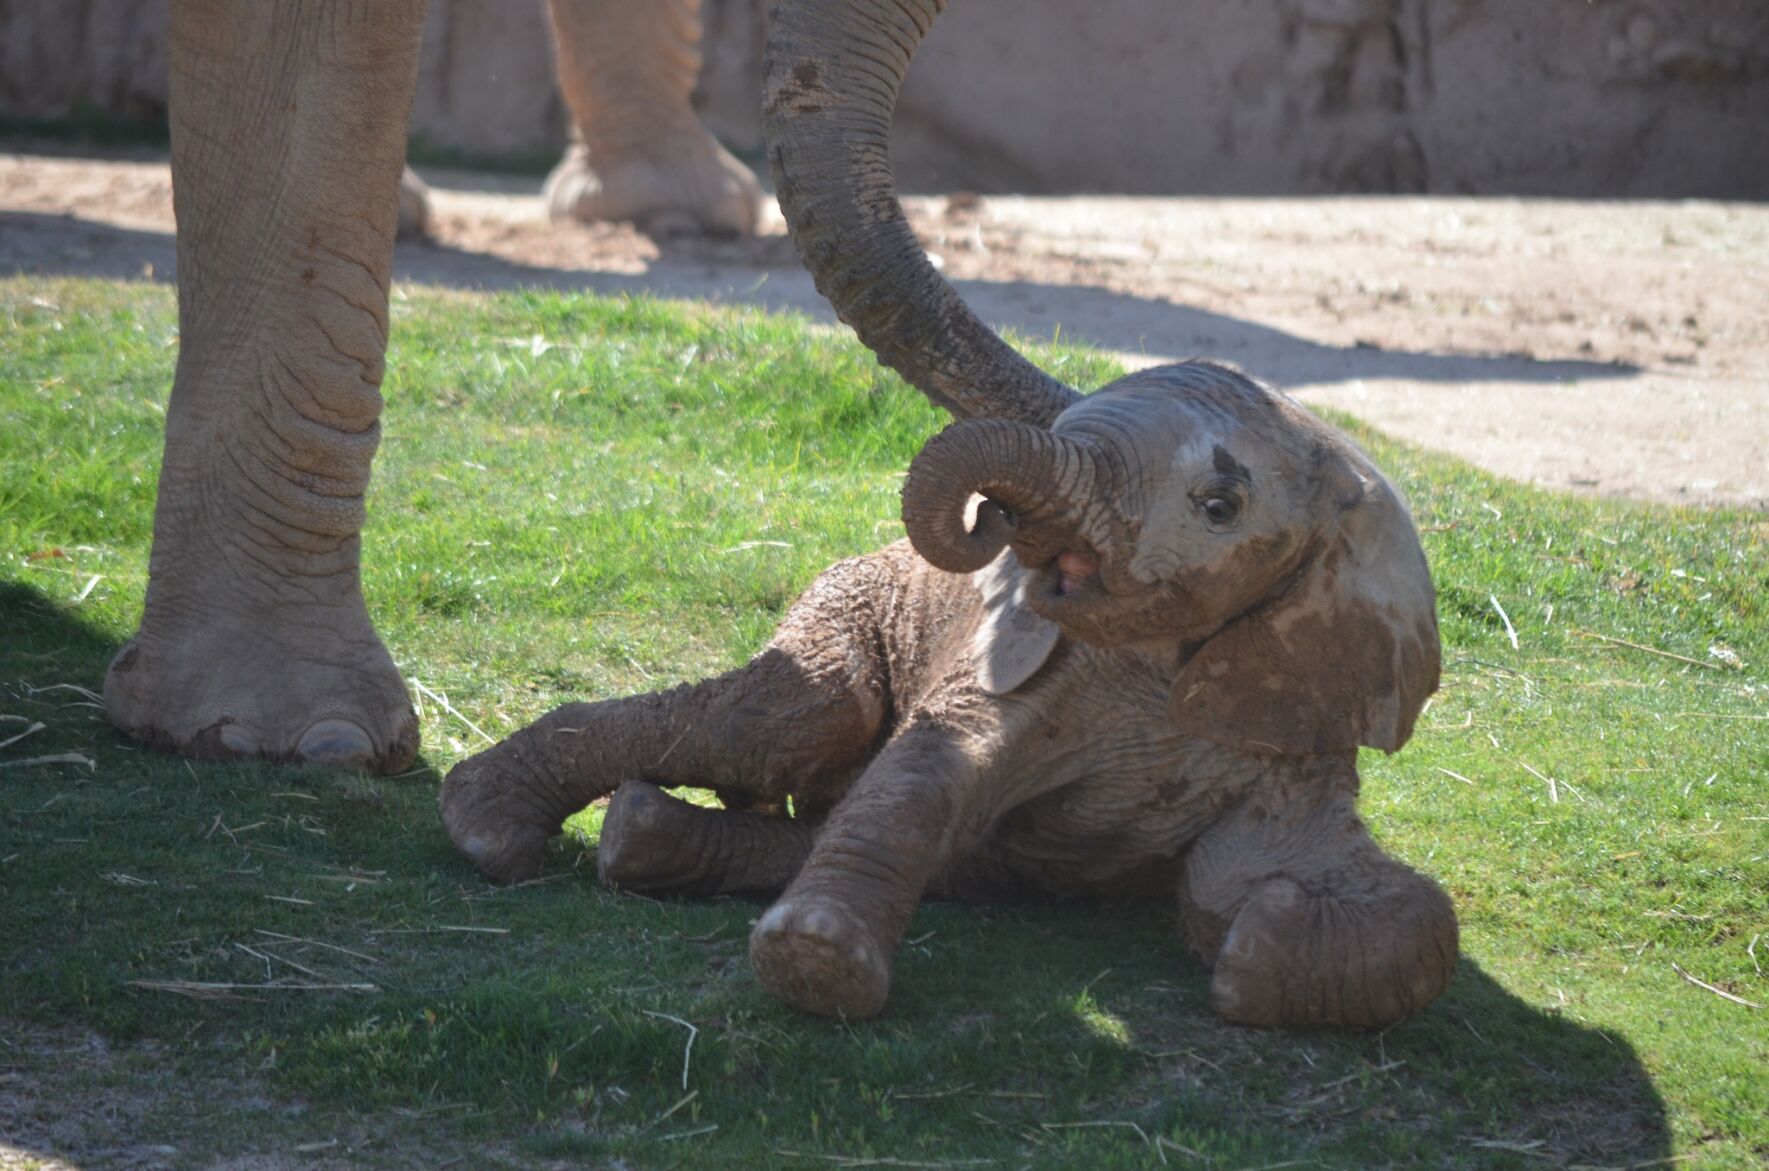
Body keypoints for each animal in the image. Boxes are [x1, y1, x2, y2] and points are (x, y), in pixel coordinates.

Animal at [437, 0, 1457, 1028]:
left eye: (1219, 505)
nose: (992, 519)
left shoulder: (1291, 714)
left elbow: (1371, 904)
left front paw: (1257, 938)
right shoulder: (1030, 668)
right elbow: (929, 772)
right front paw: (817, 963)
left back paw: (636, 837)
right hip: (843, 604)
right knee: (783, 724)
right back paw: (488, 828)